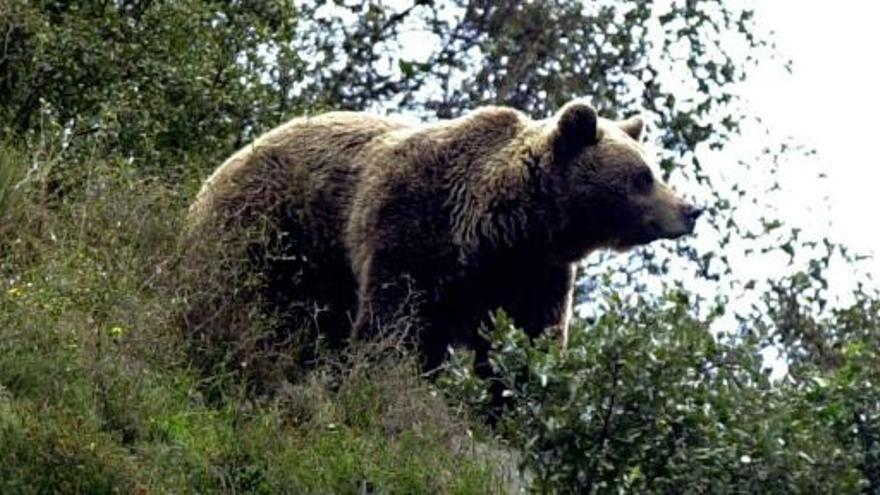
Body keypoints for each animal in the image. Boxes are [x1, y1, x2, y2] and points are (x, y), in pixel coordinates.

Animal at [186, 100, 700, 384]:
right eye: (644, 176)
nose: (691, 210)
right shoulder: (412, 226)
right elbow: (395, 322)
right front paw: (384, 377)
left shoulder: (534, 275)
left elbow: (529, 343)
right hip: (273, 227)